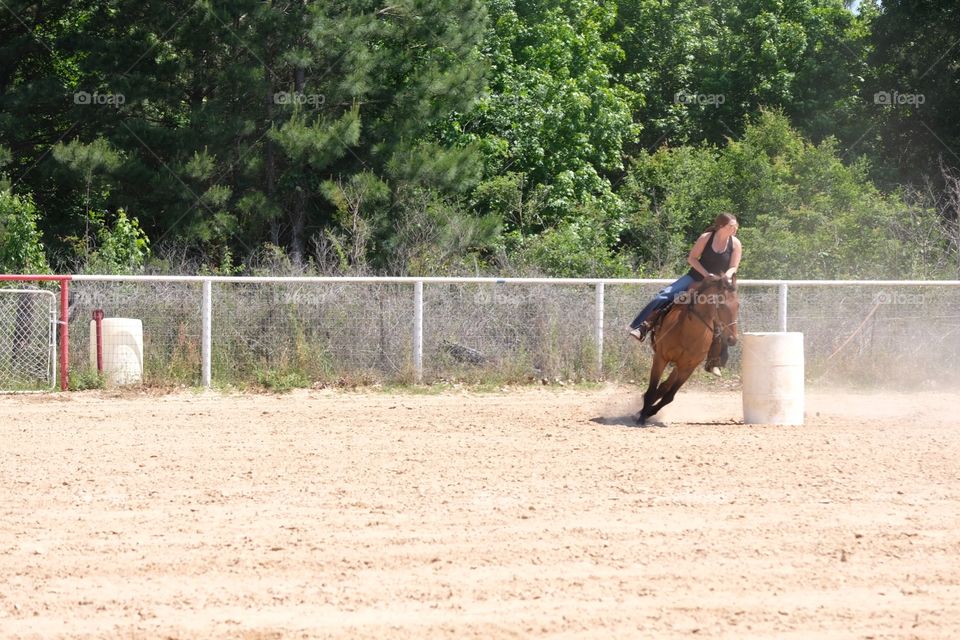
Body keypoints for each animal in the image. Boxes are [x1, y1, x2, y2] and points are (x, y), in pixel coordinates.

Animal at [636, 276, 744, 424]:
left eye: (737, 305)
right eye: (721, 305)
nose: (732, 339)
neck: (688, 332)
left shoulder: (689, 367)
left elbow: (669, 396)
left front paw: (649, 412)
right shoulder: (660, 358)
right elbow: (652, 389)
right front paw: (641, 417)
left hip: (679, 366)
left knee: (665, 386)